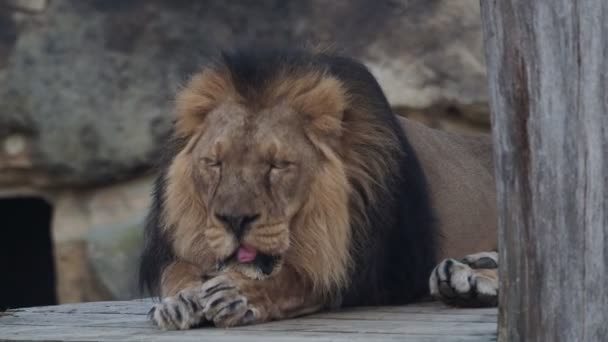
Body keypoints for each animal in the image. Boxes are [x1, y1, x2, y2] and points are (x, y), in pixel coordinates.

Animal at [140, 46, 502, 330]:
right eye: (214, 163)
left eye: (278, 165)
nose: (234, 220)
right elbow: (176, 268)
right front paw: (179, 300)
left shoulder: (374, 270)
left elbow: (301, 279)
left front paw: (238, 293)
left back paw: (465, 278)